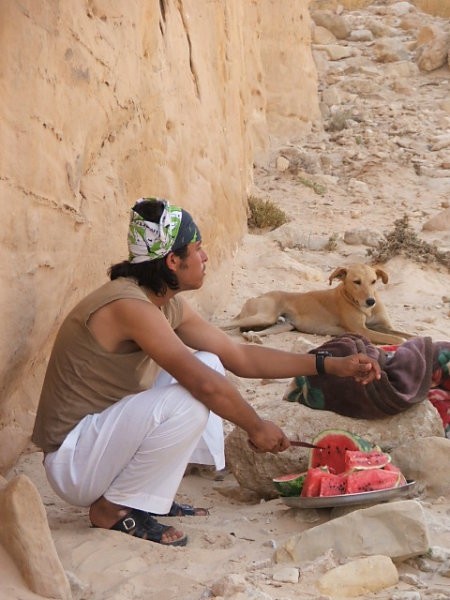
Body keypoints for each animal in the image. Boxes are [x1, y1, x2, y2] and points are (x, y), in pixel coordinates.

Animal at [224, 263, 413, 345]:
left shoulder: (383, 327)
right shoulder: (362, 331)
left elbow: (410, 335)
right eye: (356, 282)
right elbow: (398, 339)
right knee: (226, 324)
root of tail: (257, 296)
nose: (370, 301)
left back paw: (252, 336)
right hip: (263, 316)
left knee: (249, 332)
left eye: (374, 281)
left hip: (282, 325)